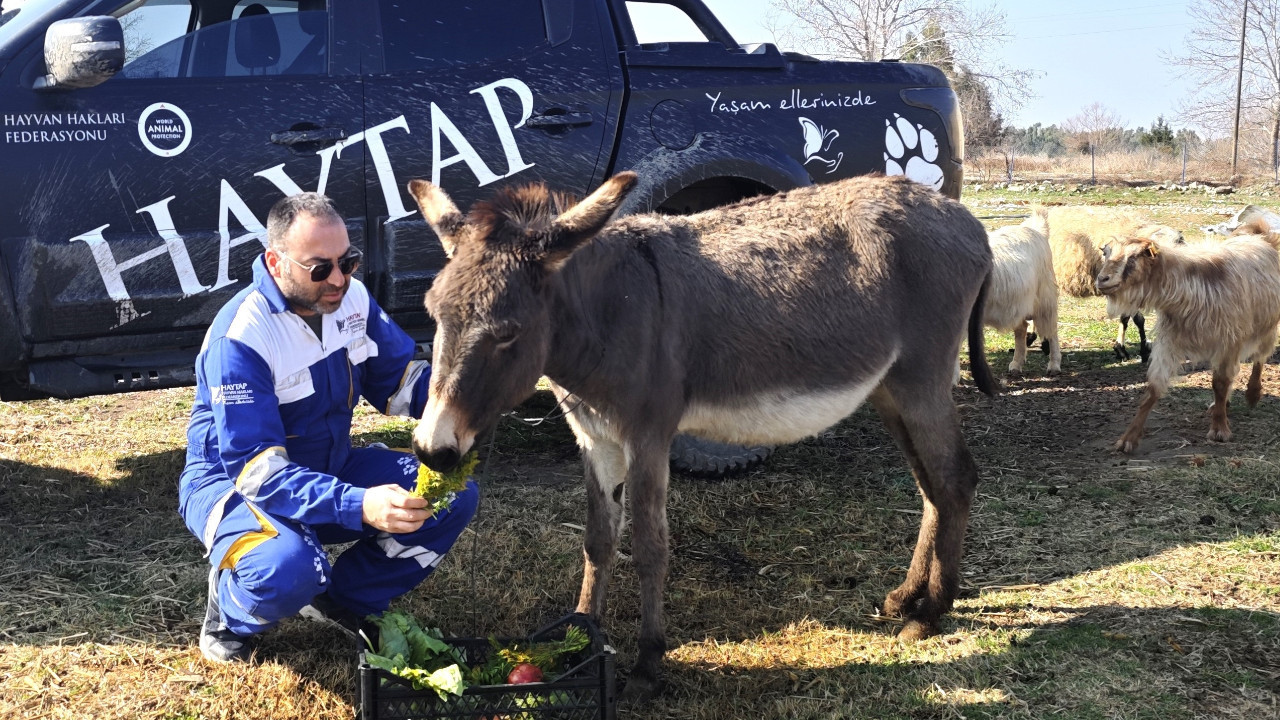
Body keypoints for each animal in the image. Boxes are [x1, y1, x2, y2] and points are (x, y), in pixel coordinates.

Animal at [404, 170, 993, 696]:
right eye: (433, 314)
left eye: (508, 333)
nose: (434, 450)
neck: (609, 311)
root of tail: (965, 217)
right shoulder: (595, 439)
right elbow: (598, 540)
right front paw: (579, 637)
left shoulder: (648, 435)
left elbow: (648, 545)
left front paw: (647, 664)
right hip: (889, 389)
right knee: (930, 486)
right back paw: (906, 596)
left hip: (921, 378)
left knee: (956, 479)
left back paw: (930, 613)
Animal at [983, 206, 1064, 376]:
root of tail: (1037, 230)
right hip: (1018, 303)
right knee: (1021, 328)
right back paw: (1016, 364)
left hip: (1045, 297)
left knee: (1051, 329)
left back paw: (1054, 365)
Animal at [1095, 221, 1280, 450]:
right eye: (1106, 253)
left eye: (1133, 257)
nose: (1102, 279)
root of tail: (1259, 235)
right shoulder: (1170, 342)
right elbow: (1153, 387)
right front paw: (1129, 437)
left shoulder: (1228, 340)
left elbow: (1220, 383)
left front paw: (1219, 429)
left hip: (1266, 327)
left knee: (1259, 358)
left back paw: (1252, 394)